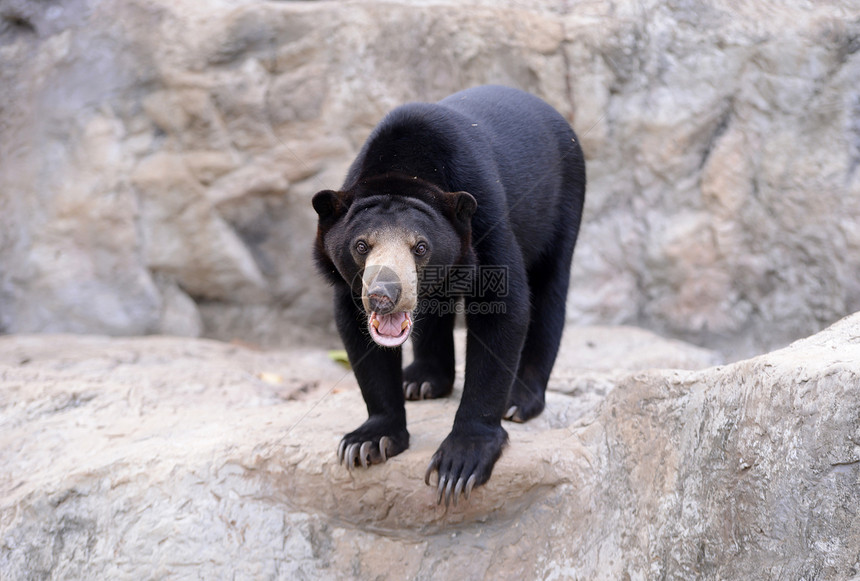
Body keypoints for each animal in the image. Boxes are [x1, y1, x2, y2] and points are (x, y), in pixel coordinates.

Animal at [312, 84, 588, 506]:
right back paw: (421, 381)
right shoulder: (348, 284)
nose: (383, 295)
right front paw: (367, 442)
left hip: (562, 202)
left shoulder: (485, 215)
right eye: (361, 246)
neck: (407, 168)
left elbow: (503, 312)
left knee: (549, 294)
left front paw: (460, 464)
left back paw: (520, 400)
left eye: (420, 247)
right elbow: (359, 334)